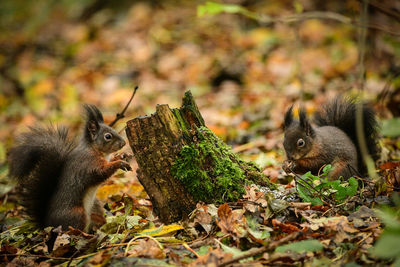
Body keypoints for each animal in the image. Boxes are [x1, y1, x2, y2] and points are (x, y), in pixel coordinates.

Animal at [7, 104, 133, 232]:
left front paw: (122, 156)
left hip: (95, 207)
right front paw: (119, 163)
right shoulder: (88, 164)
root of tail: (47, 225)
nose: (123, 143)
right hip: (77, 214)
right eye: (108, 136)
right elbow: (100, 172)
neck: (93, 149)